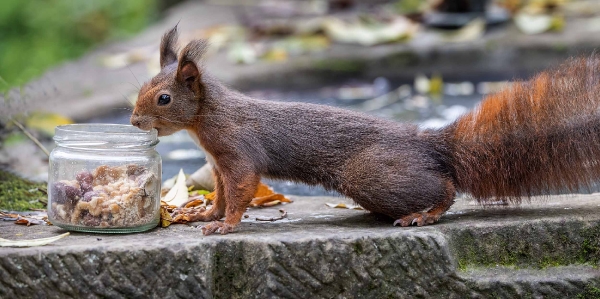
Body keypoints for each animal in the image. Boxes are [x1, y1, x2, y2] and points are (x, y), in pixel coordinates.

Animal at [130, 26, 600, 237]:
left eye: (164, 99)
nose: (134, 121)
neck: (207, 118)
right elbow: (222, 193)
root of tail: (432, 146)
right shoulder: (217, 163)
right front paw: (205, 215)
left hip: (372, 175)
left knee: (446, 189)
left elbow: (242, 190)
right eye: (143, 86)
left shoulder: (238, 152)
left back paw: (424, 214)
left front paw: (225, 226)